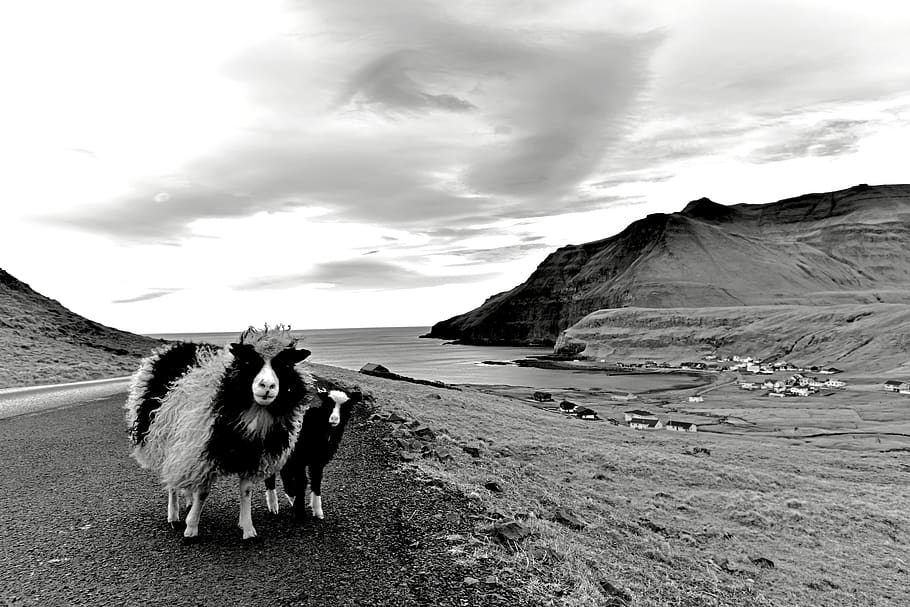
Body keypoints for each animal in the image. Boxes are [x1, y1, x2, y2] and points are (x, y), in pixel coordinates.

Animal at [124, 326, 318, 544]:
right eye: (249, 362)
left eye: (284, 364)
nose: (267, 386)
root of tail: (175, 347)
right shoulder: (202, 454)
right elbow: (203, 493)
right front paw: (191, 529)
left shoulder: (251, 456)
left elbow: (246, 491)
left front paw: (248, 529)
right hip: (167, 439)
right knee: (171, 481)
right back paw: (173, 516)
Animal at [262, 382, 362, 520]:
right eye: (328, 404)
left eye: (346, 406)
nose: (334, 419)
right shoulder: (299, 459)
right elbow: (302, 482)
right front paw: (300, 513)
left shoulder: (318, 461)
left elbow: (316, 481)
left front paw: (317, 510)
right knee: (271, 475)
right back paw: (273, 505)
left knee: (284, 473)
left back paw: (291, 497)